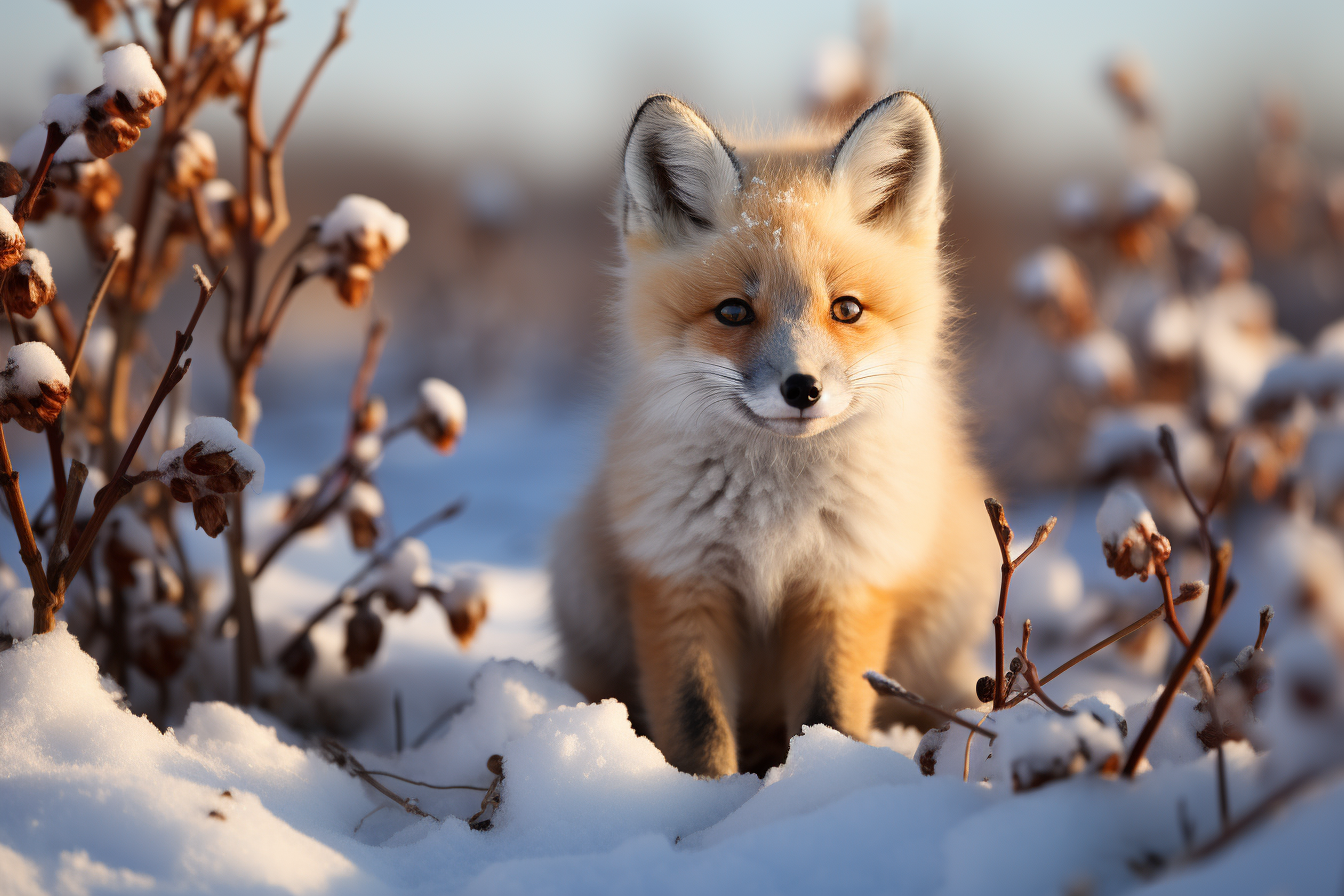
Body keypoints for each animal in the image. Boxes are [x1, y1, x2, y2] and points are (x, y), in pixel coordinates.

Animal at [551, 92, 1005, 779]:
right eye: (733, 312)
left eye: (846, 309)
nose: (803, 389)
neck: (775, 514)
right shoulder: (678, 578)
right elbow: (697, 722)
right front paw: (702, 797)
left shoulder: (846, 582)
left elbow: (831, 711)